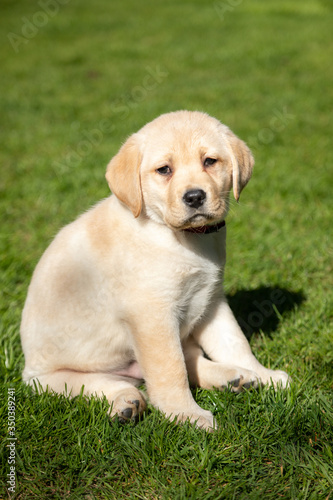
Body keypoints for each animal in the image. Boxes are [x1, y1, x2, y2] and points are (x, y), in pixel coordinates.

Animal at [22, 110, 290, 430]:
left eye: (210, 161)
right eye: (164, 170)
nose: (195, 197)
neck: (181, 237)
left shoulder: (212, 300)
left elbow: (234, 341)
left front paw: (263, 374)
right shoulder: (152, 315)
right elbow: (170, 370)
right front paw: (185, 413)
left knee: (192, 359)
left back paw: (234, 377)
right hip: (50, 380)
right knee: (107, 385)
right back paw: (127, 403)